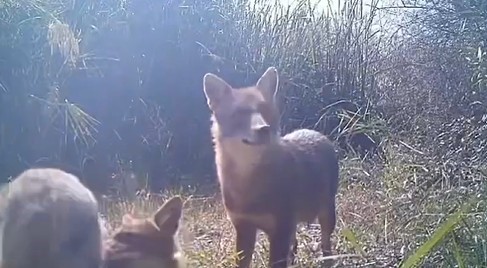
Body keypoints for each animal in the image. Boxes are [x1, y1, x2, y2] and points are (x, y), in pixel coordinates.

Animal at [202, 67, 340, 268]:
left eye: (264, 110)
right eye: (240, 113)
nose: (264, 128)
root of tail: (316, 133)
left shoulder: (279, 231)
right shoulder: (244, 228)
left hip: (326, 215)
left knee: (325, 245)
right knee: (295, 244)